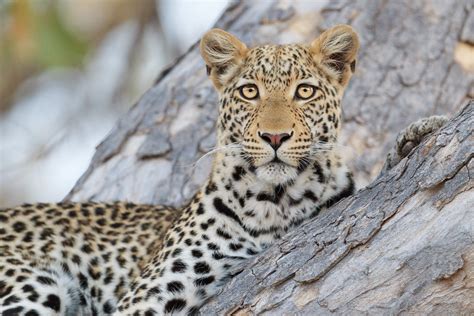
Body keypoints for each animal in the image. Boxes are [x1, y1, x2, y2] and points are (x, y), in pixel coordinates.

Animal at [0, 25, 446, 316]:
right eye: (250, 92)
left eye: (305, 91)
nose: (275, 136)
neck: (277, 204)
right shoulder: (147, 297)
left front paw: (415, 138)